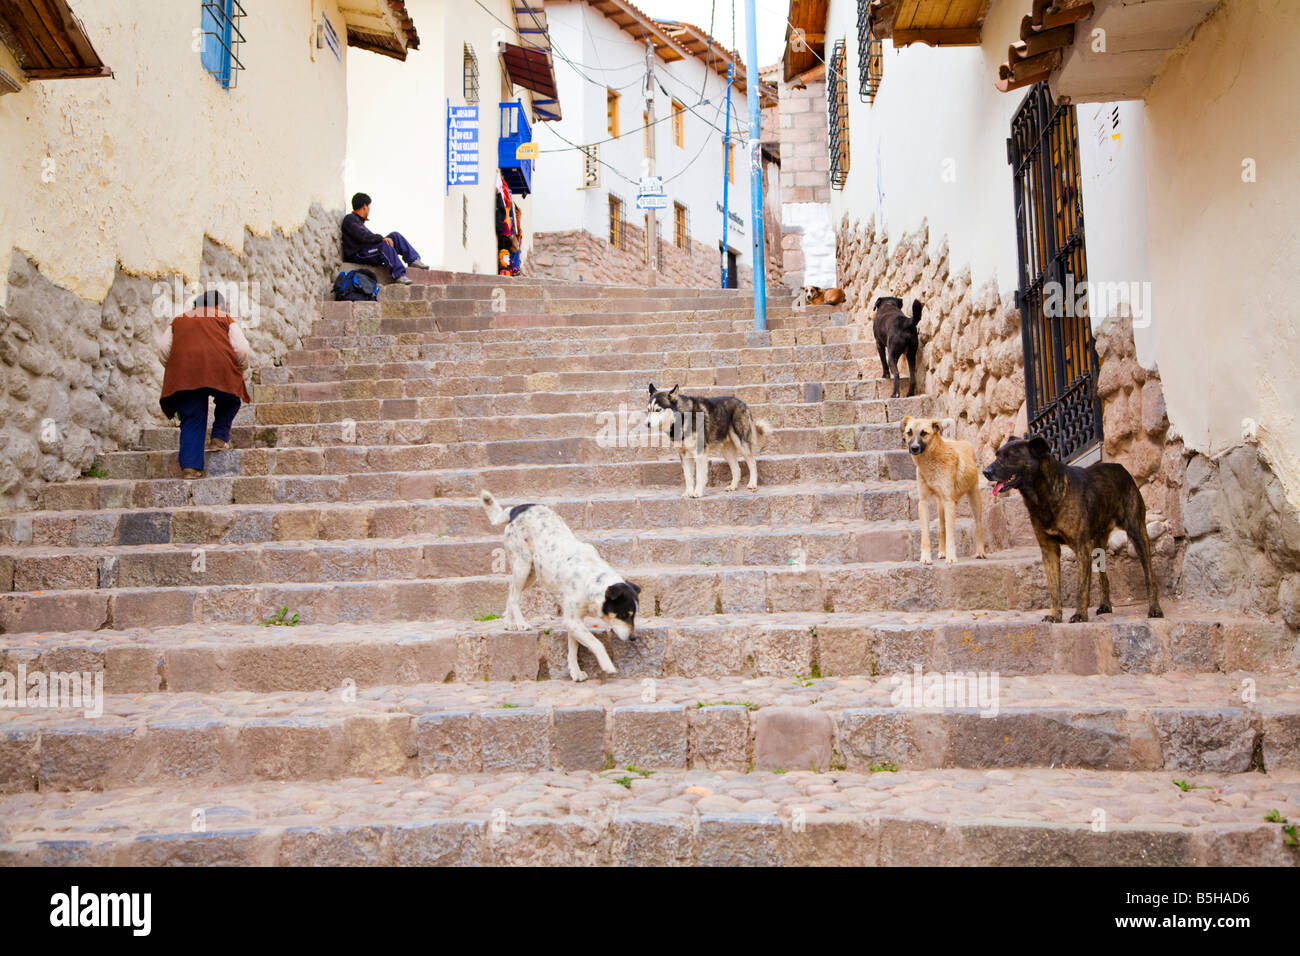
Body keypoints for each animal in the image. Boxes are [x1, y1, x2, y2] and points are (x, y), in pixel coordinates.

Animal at [480, 494, 642, 681]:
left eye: (633, 615)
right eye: (623, 615)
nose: (633, 638)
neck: (592, 581)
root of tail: (518, 508)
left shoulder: (574, 621)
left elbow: (574, 647)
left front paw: (575, 671)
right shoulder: (572, 620)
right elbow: (596, 643)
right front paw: (607, 665)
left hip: (533, 573)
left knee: (511, 589)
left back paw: (509, 622)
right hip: (523, 564)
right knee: (514, 596)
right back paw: (520, 623)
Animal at [904, 416, 982, 564]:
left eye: (924, 433)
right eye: (909, 432)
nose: (914, 448)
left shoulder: (949, 502)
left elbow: (951, 534)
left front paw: (951, 557)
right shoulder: (923, 502)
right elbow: (926, 534)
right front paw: (925, 557)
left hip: (974, 499)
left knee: (978, 524)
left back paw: (980, 553)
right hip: (940, 507)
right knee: (941, 528)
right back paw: (941, 552)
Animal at [982, 434, 1170, 629]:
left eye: (1010, 457)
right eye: (997, 455)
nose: (985, 472)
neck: (1044, 495)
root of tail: (1120, 467)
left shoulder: (1081, 547)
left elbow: (1081, 588)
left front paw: (1080, 615)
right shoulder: (1049, 549)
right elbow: (1054, 589)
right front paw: (1055, 615)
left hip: (1137, 533)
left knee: (1150, 576)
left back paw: (1155, 609)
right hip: (1097, 547)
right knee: (1103, 578)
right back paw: (1105, 605)